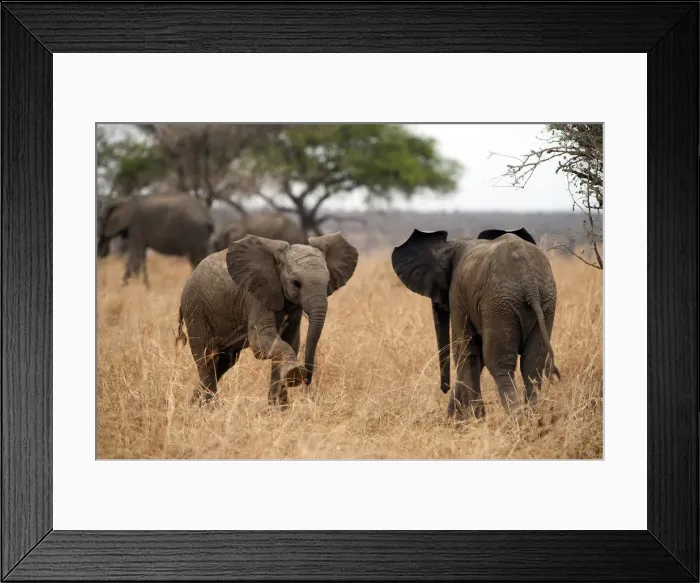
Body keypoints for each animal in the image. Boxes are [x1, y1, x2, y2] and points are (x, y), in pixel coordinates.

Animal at [176, 232, 358, 408]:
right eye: (296, 283)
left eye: (327, 282)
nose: (307, 379)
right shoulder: (256, 295)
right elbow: (262, 343)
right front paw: (293, 376)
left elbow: (290, 342)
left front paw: (279, 410)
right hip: (196, 309)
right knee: (205, 358)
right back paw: (209, 409)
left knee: (223, 362)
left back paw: (193, 406)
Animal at [391, 227, 559, 421]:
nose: (444, 389)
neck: (452, 245)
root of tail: (530, 284)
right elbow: (475, 354)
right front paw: (461, 418)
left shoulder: (457, 295)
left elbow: (465, 350)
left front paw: (474, 419)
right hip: (545, 302)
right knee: (532, 363)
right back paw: (533, 418)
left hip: (500, 304)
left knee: (500, 363)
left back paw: (516, 419)